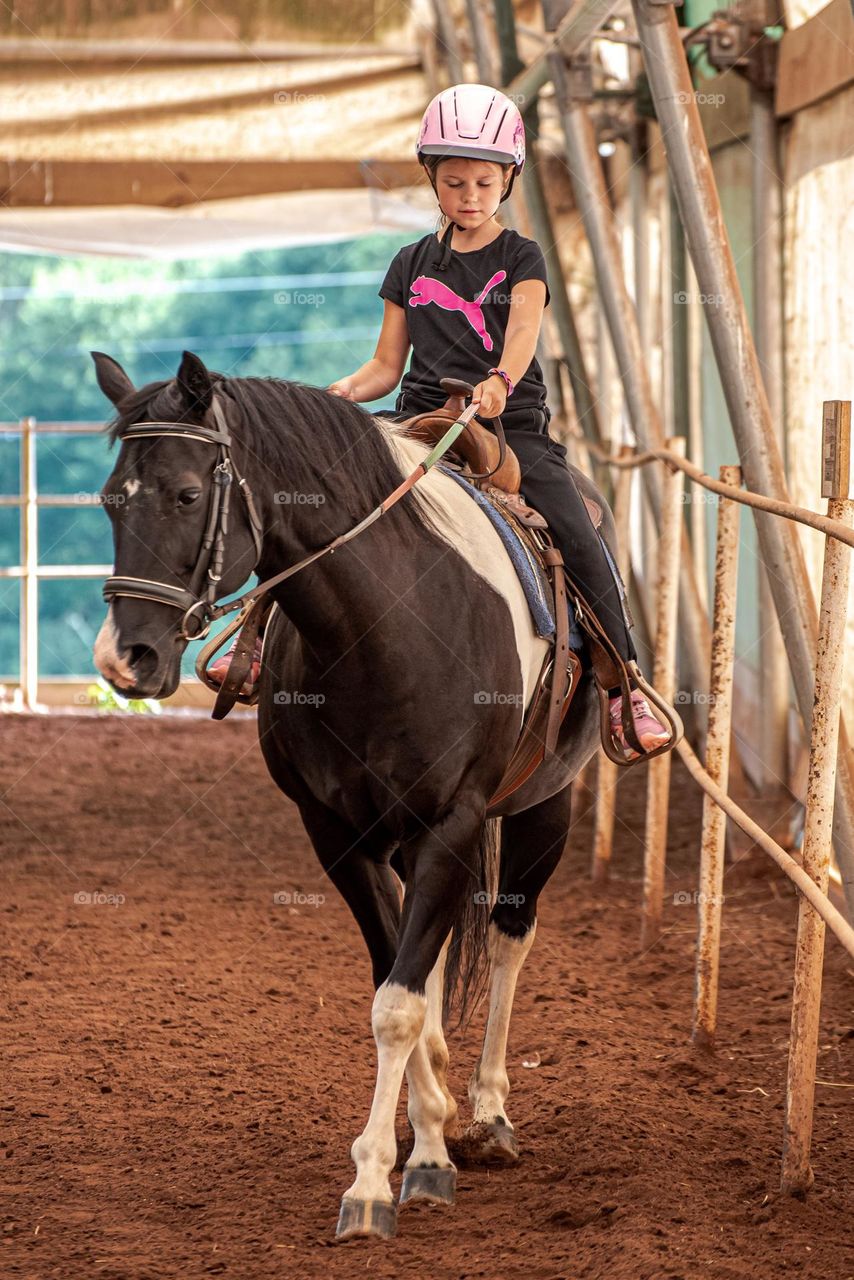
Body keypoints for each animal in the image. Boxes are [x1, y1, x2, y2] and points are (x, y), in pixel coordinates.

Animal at [91, 348, 606, 1241]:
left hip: (546, 805)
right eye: (109, 499)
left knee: (509, 937)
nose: (126, 659)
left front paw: (377, 1182)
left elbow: (399, 1004)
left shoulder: (453, 823)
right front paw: (421, 1148)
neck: (387, 625)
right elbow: (398, 985)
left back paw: (491, 1116)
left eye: (187, 494)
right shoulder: (339, 835)